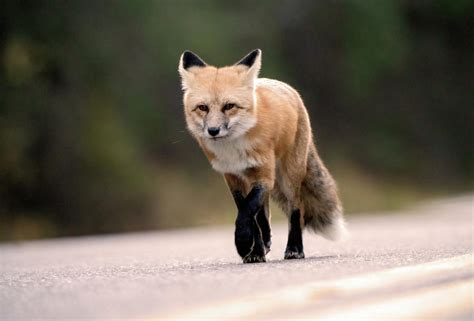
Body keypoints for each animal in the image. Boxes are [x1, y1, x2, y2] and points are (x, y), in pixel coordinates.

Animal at [178, 49, 344, 262]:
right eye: (202, 108)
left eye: (229, 106)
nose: (213, 131)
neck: (234, 148)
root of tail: (288, 88)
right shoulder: (232, 176)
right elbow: (247, 211)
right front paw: (254, 249)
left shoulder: (265, 173)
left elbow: (247, 211)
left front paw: (243, 242)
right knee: (263, 213)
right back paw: (264, 243)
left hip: (288, 176)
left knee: (296, 209)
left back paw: (294, 248)